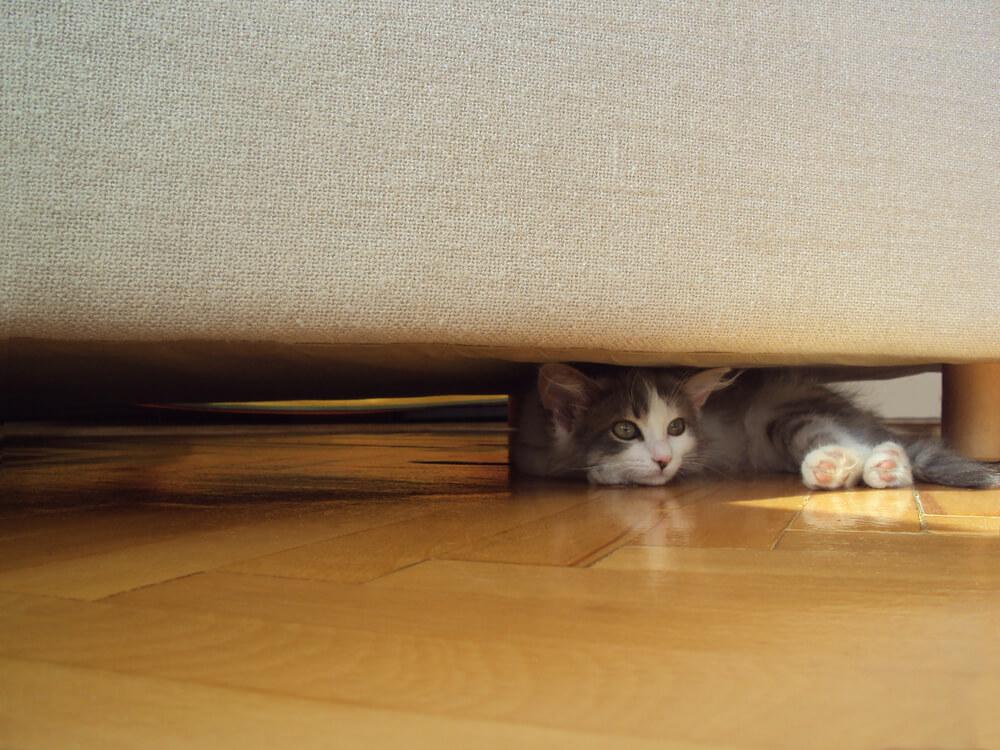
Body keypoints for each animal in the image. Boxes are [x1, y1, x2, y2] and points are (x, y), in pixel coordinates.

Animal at [512, 366, 996, 494]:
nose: (664, 459)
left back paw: (856, 465)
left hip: (780, 412)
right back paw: (884, 468)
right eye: (625, 430)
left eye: (676, 426)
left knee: (858, 444)